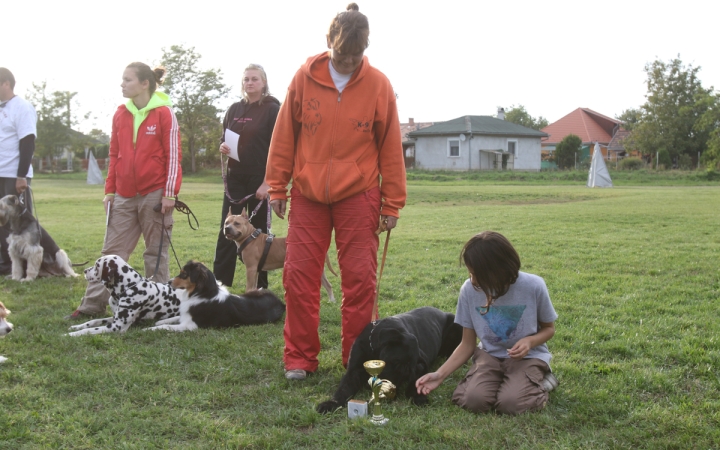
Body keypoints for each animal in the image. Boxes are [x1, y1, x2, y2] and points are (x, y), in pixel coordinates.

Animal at [148, 260, 286, 330]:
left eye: (184, 274)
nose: (168, 282)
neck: (202, 293)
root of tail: (281, 303)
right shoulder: (186, 316)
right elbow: (174, 318)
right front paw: (159, 321)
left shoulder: (191, 325)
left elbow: (168, 327)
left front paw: (149, 329)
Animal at [316, 308, 464, 414]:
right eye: (396, 363)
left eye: (407, 373)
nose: (392, 392)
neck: (373, 350)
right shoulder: (353, 370)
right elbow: (343, 390)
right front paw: (330, 404)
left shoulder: (421, 365)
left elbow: (416, 382)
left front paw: (418, 397)